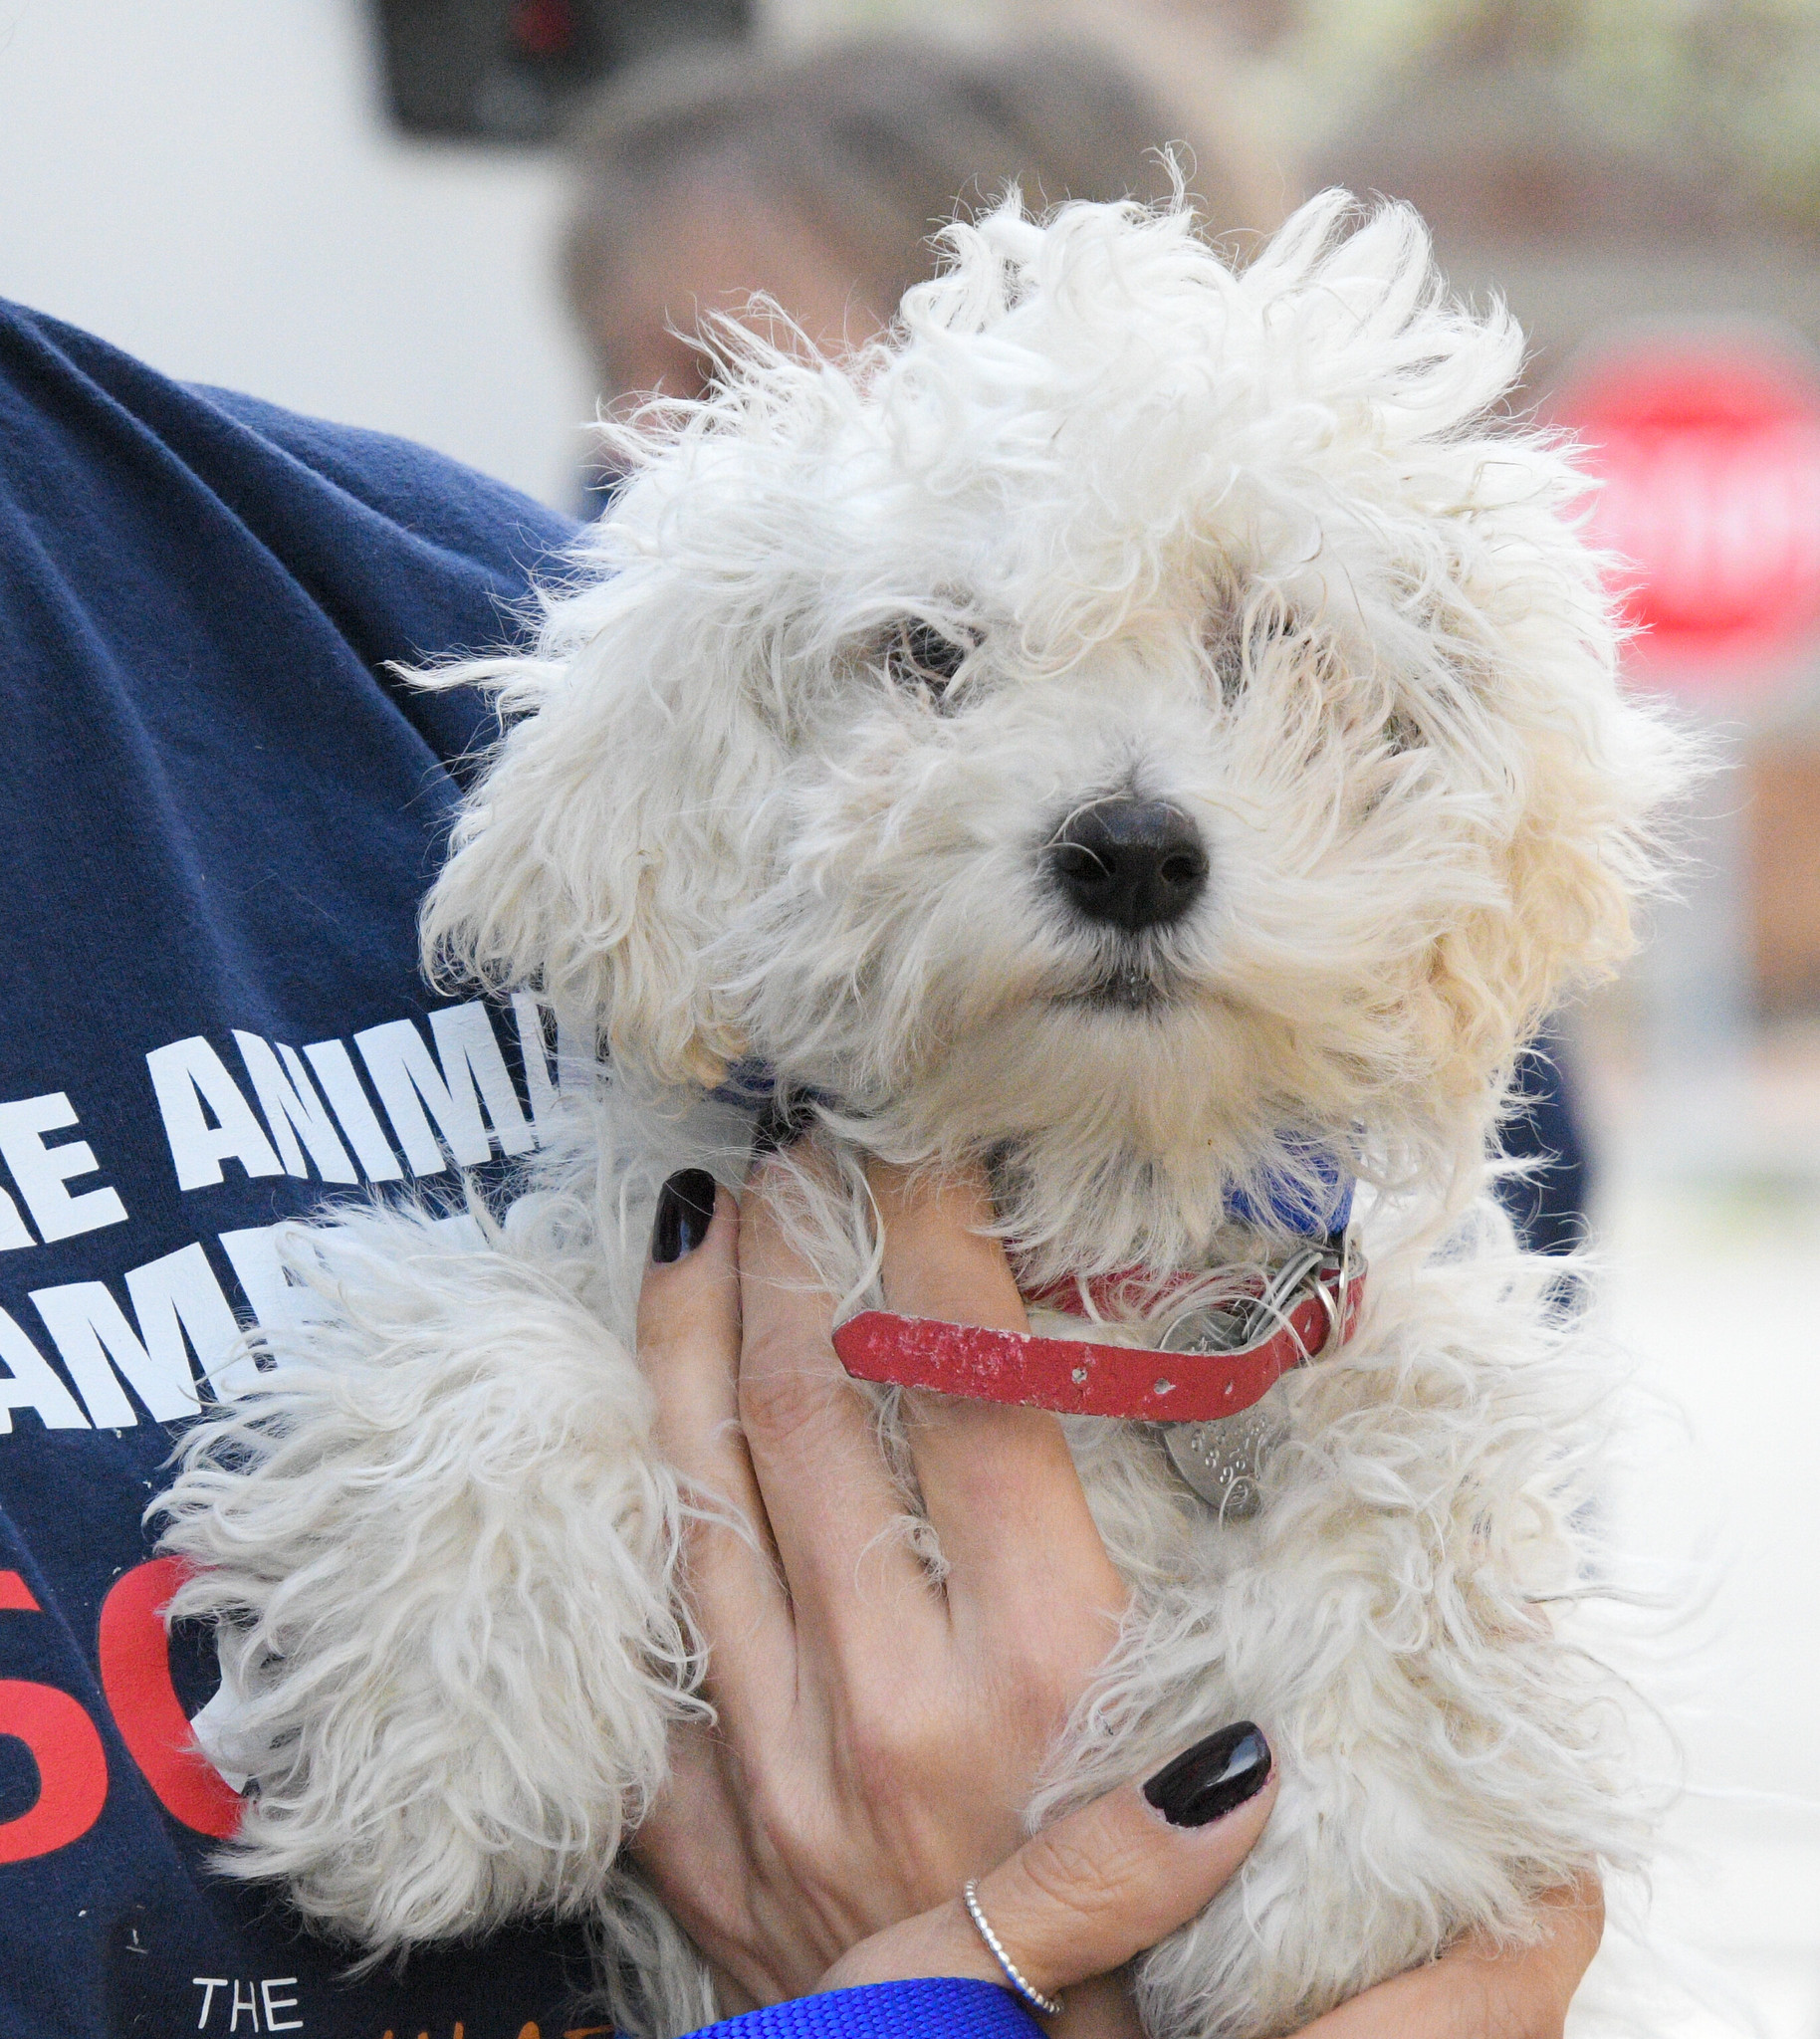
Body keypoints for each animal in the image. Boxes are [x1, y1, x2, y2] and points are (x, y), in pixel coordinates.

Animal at [155, 194, 1679, 2039]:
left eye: (1266, 639)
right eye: (928, 652)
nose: (1129, 847)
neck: (1063, 1226)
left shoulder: (1345, 1319)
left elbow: (1425, 1461)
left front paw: (1316, 1862)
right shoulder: (679, 1215)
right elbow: (491, 1343)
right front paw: (451, 1748)